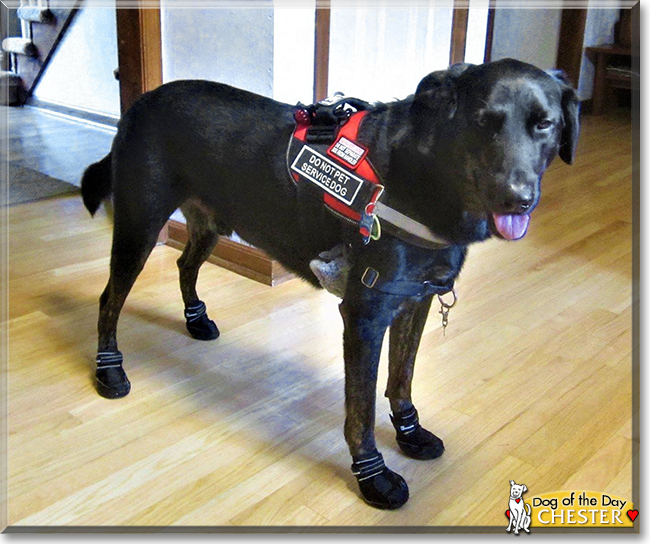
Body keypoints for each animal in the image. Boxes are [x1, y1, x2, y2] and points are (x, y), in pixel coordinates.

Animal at [79, 58, 576, 510]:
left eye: (544, 124)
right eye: (482, 123)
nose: (517, 198)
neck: (427, 176)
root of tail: (141, 101)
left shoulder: (415, 302)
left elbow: (402, 380)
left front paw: (409, 432)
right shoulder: (365, 316)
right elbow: (361, 408)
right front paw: (372, 475)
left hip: (210, 221)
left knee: (185, 263)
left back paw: (195, 320)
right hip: (140, 226)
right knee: (109, 299)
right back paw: (109, 369)